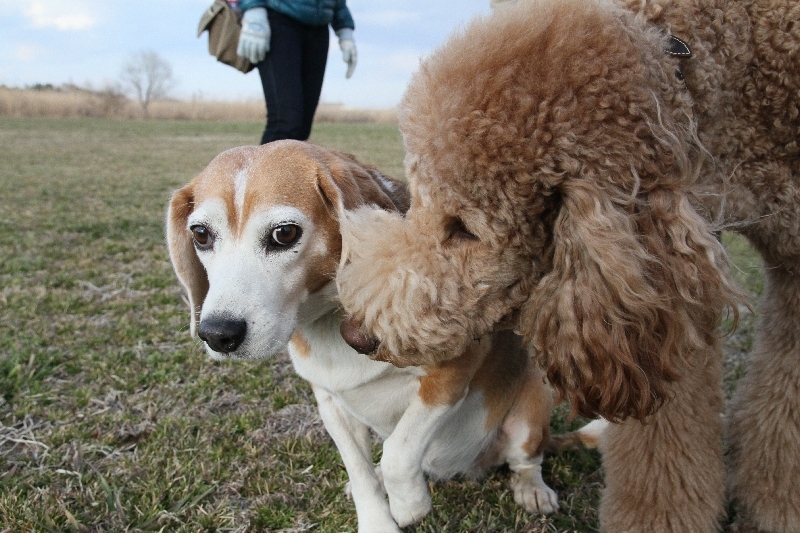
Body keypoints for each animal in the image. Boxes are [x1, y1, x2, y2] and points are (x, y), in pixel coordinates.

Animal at [166, 140, 559, 532]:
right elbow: (360, 471)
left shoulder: (450, 377)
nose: (218, 334)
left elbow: (399, 452)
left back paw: (532, 490)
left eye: (284, 233)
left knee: (526, 461)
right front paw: (378, 518)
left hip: (531, 413)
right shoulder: (331, 402)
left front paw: (409, 505)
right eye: (200, 234)